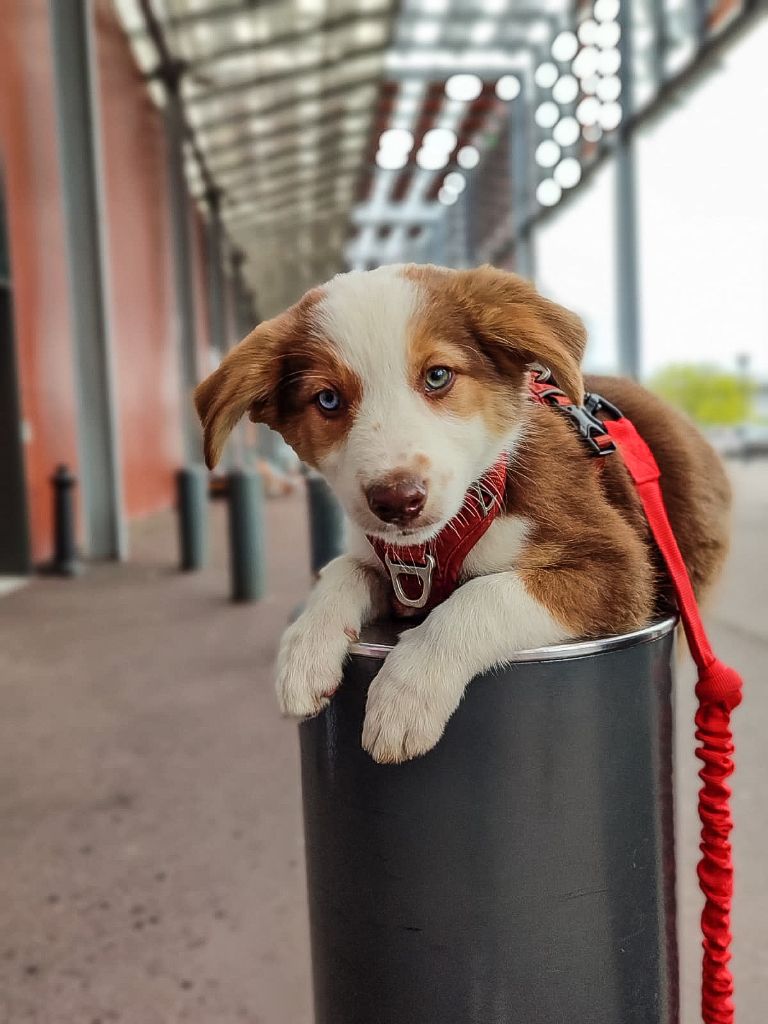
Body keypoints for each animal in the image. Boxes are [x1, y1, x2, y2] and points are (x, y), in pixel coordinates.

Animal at [193, 264, 733, 761]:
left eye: (437, 376)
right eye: (327, 399)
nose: (397, 500)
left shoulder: (620, 566)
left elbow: (483, 595)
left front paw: (407, 693)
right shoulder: (394, 565)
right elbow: (343, 569)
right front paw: (305, 647)